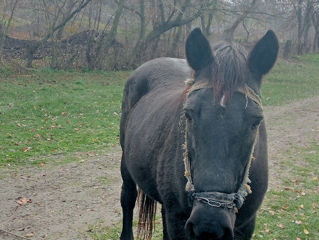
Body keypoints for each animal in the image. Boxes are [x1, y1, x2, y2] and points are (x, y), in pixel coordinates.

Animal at [120, 28, 280, 240]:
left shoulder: (246, 224)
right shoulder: (178, 221)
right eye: (188, 114)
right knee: (128, 198)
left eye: (256, 121)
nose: (210, 224)